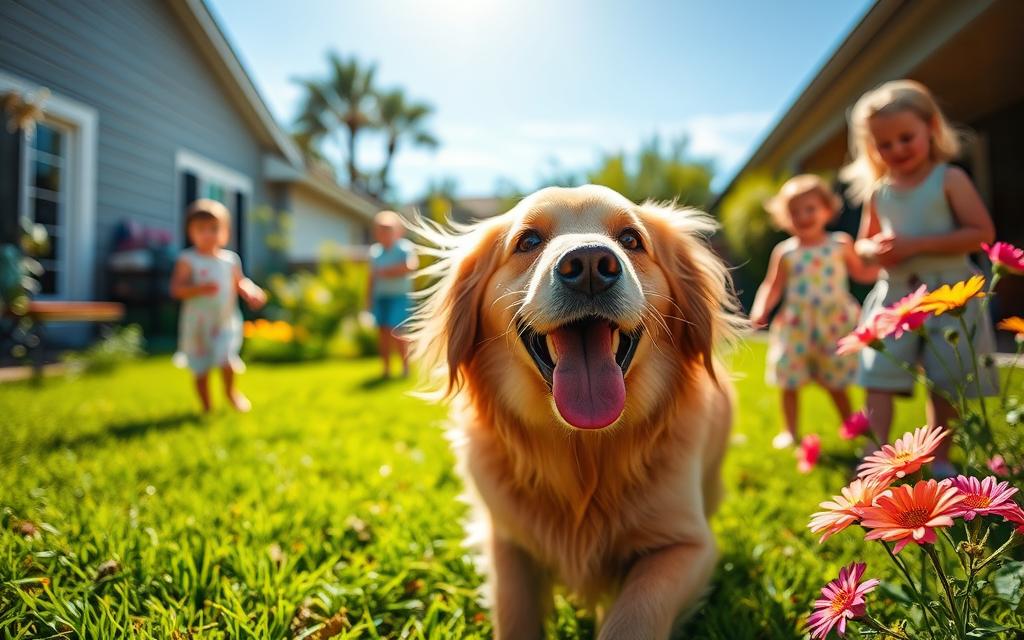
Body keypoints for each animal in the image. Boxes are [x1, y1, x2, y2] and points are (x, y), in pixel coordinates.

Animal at [407, 182, 737, 634]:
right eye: (528, 241)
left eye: (631, 239)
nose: (590, 264)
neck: (584, 450)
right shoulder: (505, 541)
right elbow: (514, 615)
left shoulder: (688, 545)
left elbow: (634, 614)